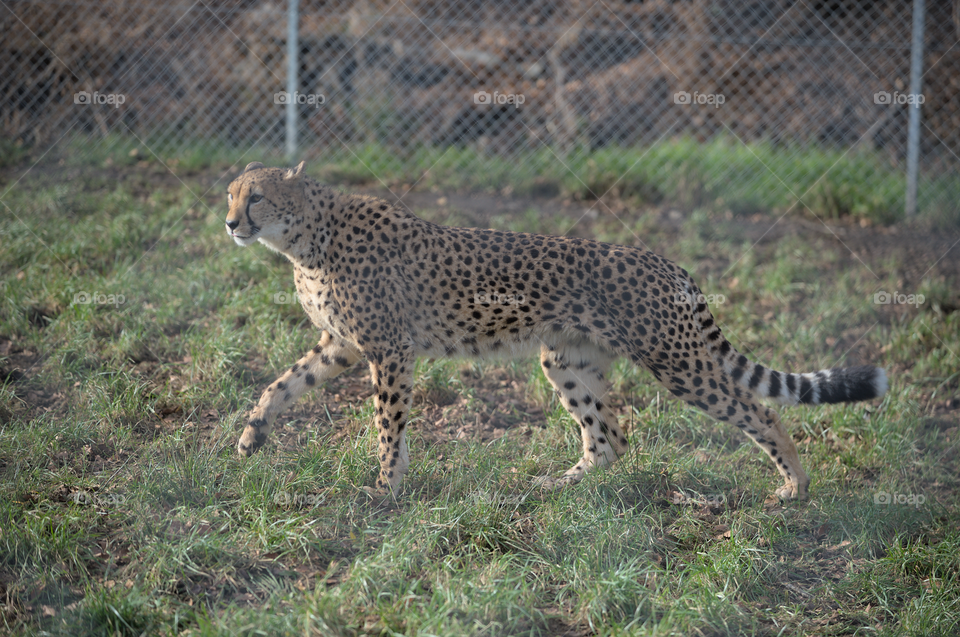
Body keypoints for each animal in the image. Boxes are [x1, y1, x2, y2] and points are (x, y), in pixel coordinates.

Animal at [225, 160, 888, 500]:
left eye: (256, 198)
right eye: (230, 195)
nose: (231, 224)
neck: (306, 238)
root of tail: (666, 260)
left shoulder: (387, 349)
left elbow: (388, 424)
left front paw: (386, 487)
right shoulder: (340, 345)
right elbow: (280, 385)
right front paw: (252, 437)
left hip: (677, 363)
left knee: (758, 411)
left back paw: (796, 485)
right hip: (565, 360)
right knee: (610, 437)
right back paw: (559, 484)